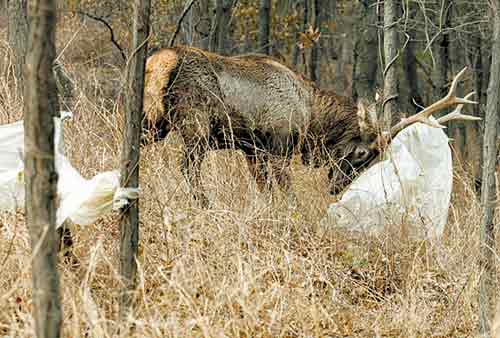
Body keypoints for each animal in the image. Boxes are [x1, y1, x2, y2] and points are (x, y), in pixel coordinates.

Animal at [143, 45, 478, 203]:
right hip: (195, 125)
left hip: (153, 123)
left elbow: (263, 189)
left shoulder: (252, 150)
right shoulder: (277, 146)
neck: (311, 117)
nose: (336, 187)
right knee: (188, 168)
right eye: (362, 153)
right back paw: (205, 204)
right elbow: (286, 191)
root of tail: (160, 61)